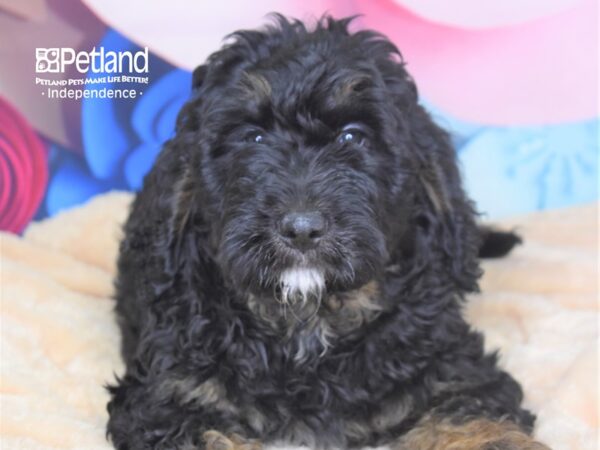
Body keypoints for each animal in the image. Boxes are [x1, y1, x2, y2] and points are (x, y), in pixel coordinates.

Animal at [106, 15, 548, 450]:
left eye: (353, 136)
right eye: (253, 137)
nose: (302, 229)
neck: (309, 321)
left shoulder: (451, 369)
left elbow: (474, 422)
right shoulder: (171, 392)